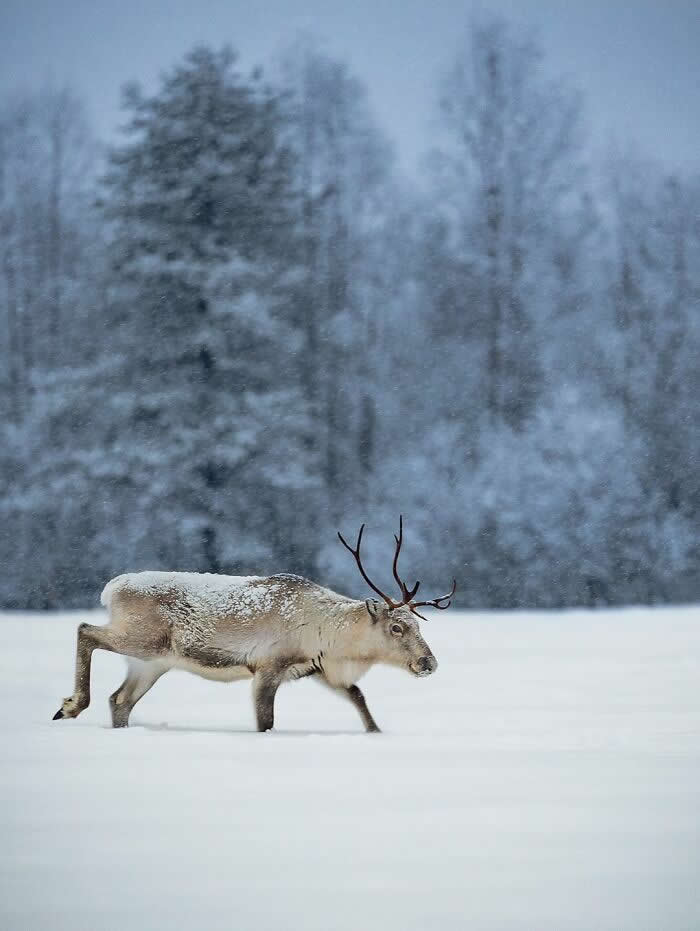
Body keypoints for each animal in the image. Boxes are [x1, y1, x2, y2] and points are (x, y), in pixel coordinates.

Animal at [52, 517, 456, 733]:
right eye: (396, 628)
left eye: (419, 625)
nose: (429, 663)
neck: (330, 633)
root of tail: (111, 589)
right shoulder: (268, 667)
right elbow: (266, 720)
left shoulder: (317, 668)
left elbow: (358, 696)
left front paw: (376, 733)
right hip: (143, 638)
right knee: (85, 630)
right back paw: (70, 706)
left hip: (152, 663)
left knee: (120, 699)